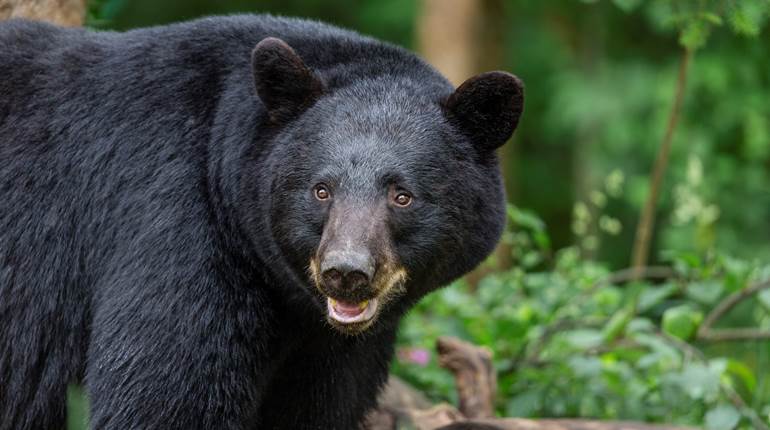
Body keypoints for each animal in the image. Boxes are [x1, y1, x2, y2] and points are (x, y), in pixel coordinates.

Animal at [0, 14, 523, 430]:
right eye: (321, 189)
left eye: (402, 196)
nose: (346, 272)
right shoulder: (178, 232)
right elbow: (162, 394)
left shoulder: (334, 352)